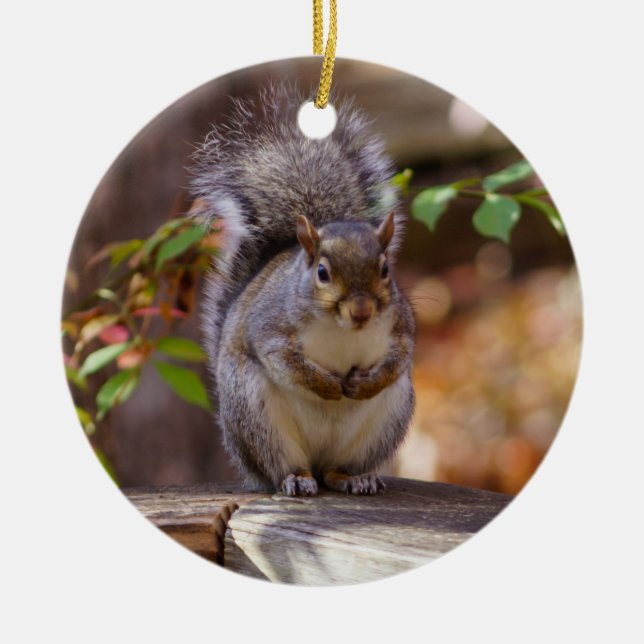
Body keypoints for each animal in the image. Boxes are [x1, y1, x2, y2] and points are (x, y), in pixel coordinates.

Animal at [190, 84, 415, 496]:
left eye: (385, 269)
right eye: (322, 272)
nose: (361, 311)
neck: (342, 329)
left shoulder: (402, 326)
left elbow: (400, 358)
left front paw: (363, 383)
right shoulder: (269, 326)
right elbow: (284, 359)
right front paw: (329, 387)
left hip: (385, 421)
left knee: (335, 471)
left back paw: (355, 478)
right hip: (256, 417)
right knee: (284, 468)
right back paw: (296, 479)